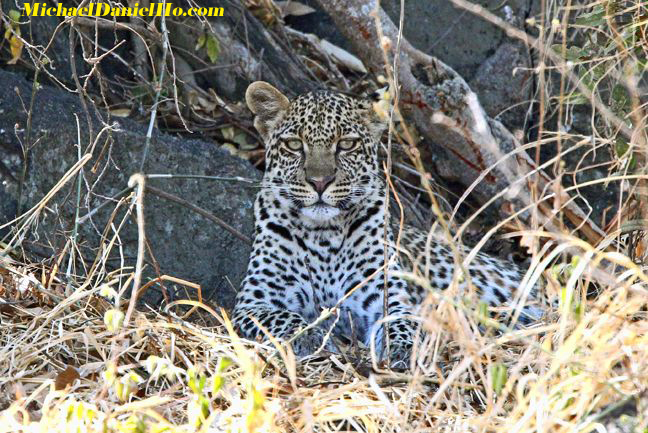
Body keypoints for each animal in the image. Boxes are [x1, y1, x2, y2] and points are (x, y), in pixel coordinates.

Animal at [230, 81, 544, 364]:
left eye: (346, 144)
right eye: (294, 145)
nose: (320, 182)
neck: (323, 235)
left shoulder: (387, 297)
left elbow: (401, 322)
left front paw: (402, 349)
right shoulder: (254, 301)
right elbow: (283, 317)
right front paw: (310, 337)